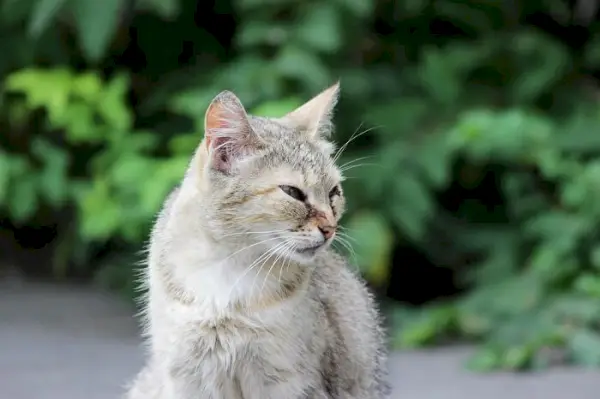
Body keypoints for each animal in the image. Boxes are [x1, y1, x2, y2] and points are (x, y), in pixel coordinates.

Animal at [124, 83, 392, 398]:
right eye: (293, 192)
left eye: (333, 193)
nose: (330, 228)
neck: (227, 268)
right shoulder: (187, 376)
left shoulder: (288, 382)